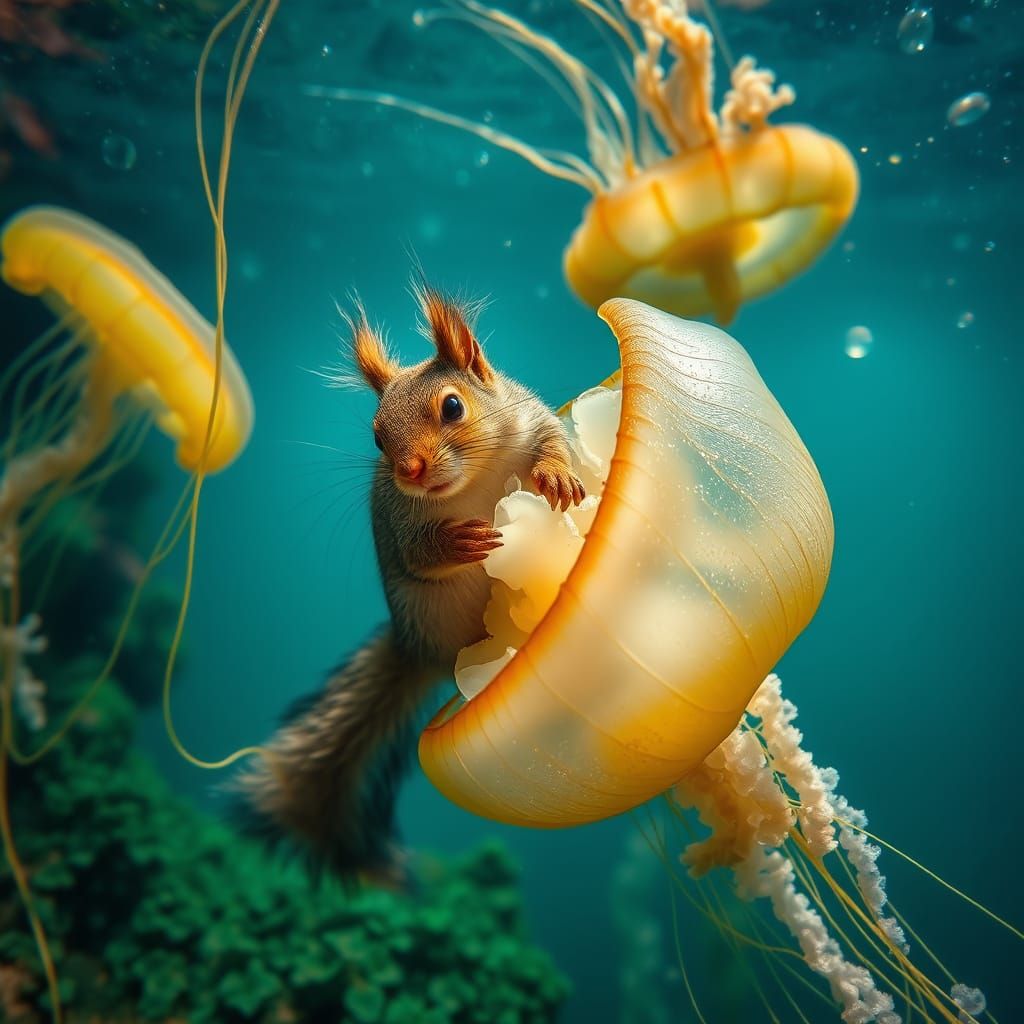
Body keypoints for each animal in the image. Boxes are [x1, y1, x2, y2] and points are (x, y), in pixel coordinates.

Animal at [237, 283, 585, 881]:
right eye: (377, 438)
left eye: (453, 406)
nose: (410, 470)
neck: (476, 479)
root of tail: (415, 648)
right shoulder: (400, 522)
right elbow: (417, 556)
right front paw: (455, 545)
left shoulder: (532, 419)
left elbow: (553, 442)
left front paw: (558, 473)